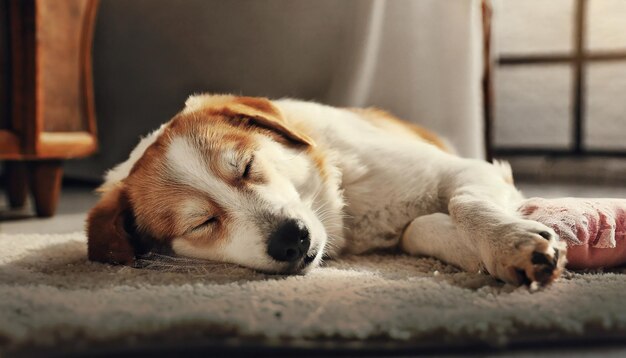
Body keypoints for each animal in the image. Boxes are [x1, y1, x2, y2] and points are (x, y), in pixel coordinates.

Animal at [88, 93, 564, 286]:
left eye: (247, 167)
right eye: (200, 224)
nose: (292, 239)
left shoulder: (467, 170)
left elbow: (463, 202)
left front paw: (508, 242)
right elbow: (420, 228)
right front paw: (481, 253)